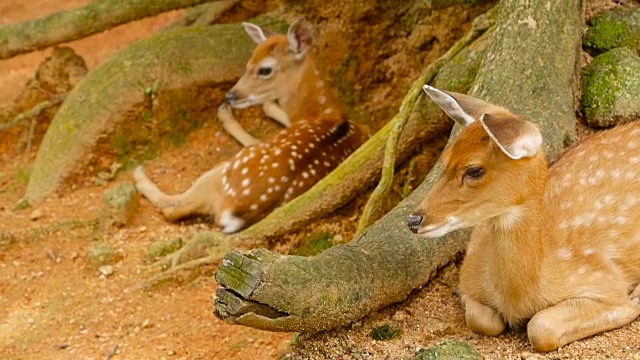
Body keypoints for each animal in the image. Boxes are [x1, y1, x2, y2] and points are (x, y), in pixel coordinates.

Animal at [134, 19, 364, 233]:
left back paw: (138, 175)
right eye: (247, 62)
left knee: (173, 208)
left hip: (224, 170)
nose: (230, 96)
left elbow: (254, 134)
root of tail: (235, 213)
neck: (324, 112)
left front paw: (228, 113)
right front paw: (267, 105)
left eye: (265, 69)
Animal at [408, 85, 640, 352]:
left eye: (474, 170)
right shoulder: (468, 275)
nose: (414, 220)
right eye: (444, 161)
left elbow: (540, 328)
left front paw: (635, 300)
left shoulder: (603, 279)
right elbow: (481, 319)